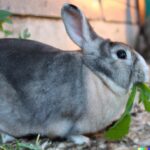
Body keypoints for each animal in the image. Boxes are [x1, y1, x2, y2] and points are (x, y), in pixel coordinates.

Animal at [0, 3, 149, 144]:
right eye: (121, 54)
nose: (147, 71)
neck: (98, 76)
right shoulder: (66, 120)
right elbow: (70, 133)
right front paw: (83, 140)